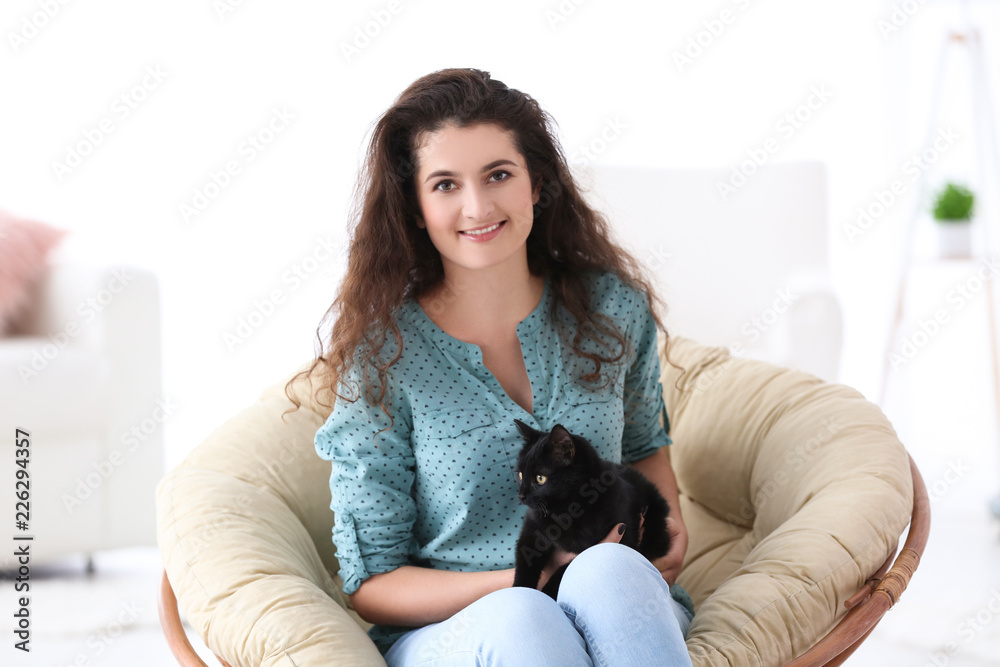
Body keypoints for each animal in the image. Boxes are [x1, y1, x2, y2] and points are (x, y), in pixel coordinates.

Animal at [511, 419, 671, 599]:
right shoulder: (532, 530)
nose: (521, 495)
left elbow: (568, 567)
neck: (563, 512)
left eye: (540, 479)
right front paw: (521, 592)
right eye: (520, 475)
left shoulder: (623, 539)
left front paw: (547, 592)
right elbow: (525, 562)